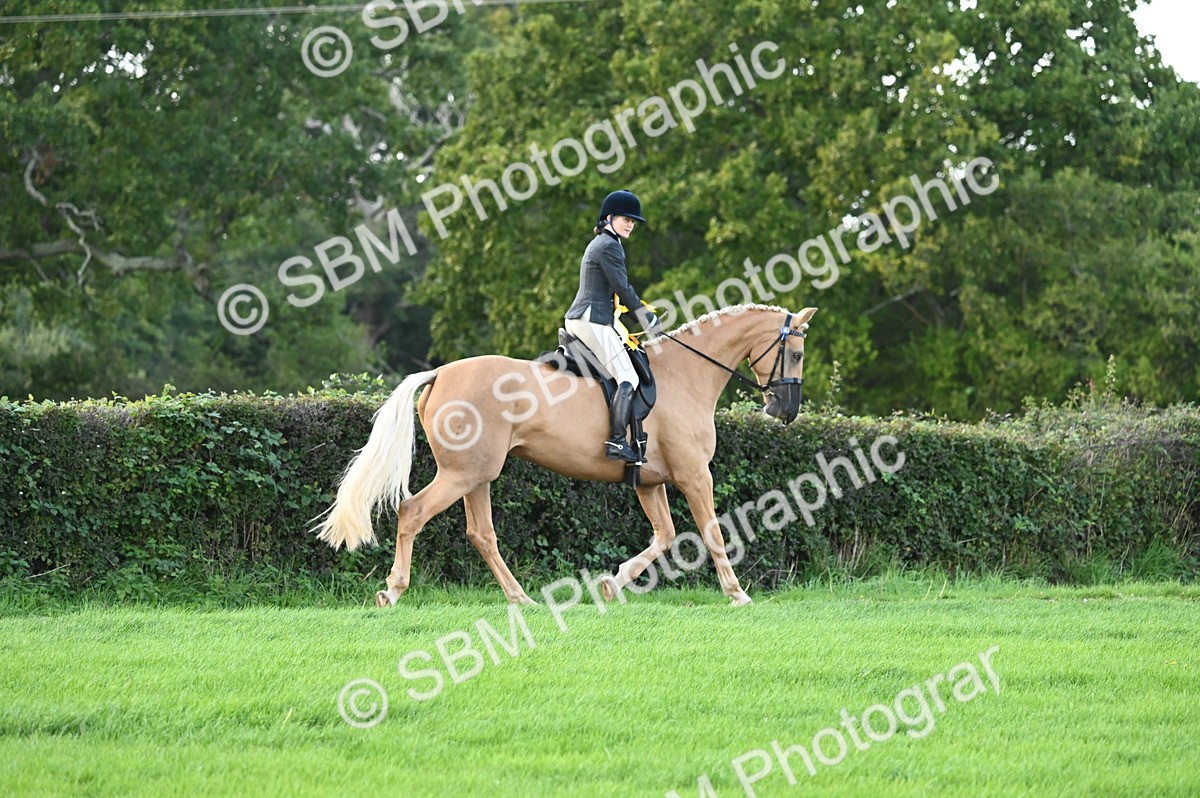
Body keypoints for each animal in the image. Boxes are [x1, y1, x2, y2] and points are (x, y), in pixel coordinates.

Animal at [315, 303, 817, 607]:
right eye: (795, 354)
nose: (785, 411)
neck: (685, 373)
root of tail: (440, 373)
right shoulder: (696, 475)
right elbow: (711, 532)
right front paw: (737, 594)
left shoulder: (649, 481)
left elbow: (665, 535)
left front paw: (612, 583)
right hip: (461, 474)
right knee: (413, 512)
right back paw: (394, 591)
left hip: (476, 475)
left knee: (482, 534)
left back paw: (521, 598)